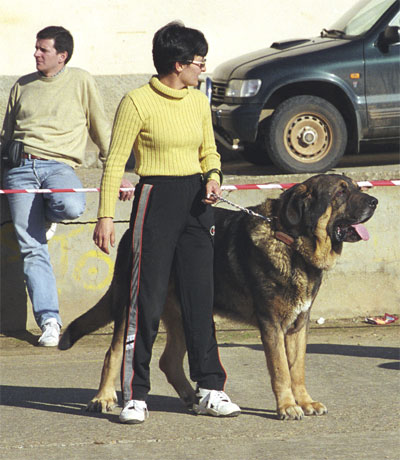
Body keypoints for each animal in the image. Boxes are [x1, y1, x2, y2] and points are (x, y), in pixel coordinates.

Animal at [59, 175, 378, 420]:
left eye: (354, 186)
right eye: (341, 192)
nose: (374, 201)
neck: (291, 242)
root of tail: (128, 232)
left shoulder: (299, 324)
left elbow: (297, 368)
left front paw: (305, 401)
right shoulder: (272, 325)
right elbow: (281, 371)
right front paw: (288, 407)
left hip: (188, 314)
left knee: (168, 361)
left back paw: (193, 398)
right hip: (133, 306)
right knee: (114, 352)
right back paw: (103, 398)